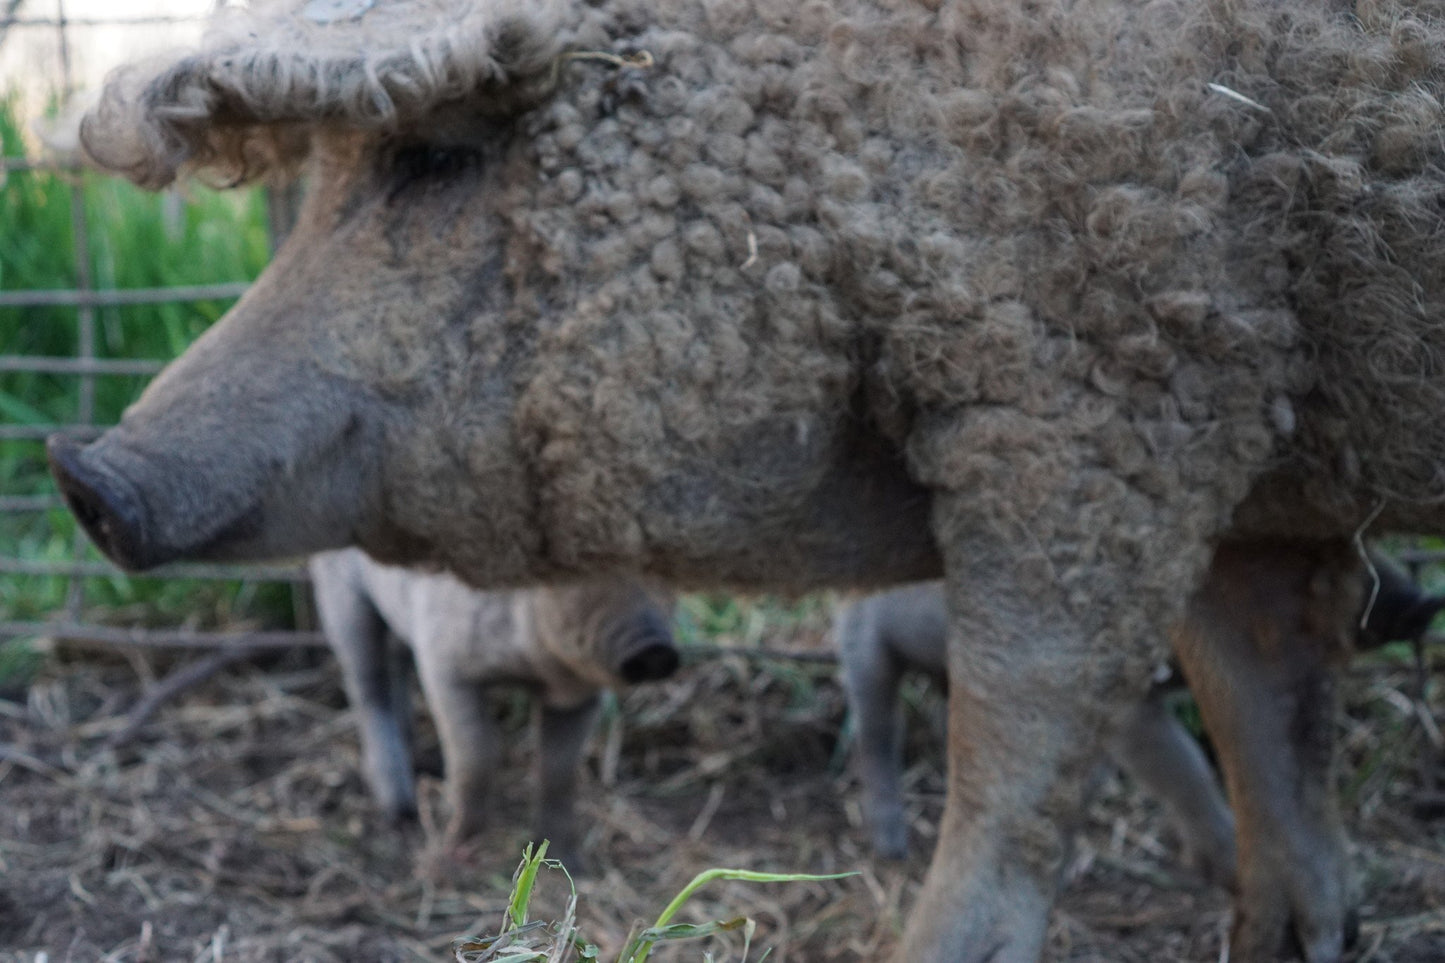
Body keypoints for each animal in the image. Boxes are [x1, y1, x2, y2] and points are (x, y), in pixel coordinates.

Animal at [309, 543, 676, 867]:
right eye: (582, 573)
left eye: (668, 573)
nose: (657, 651)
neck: (532, 666)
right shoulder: (445, 666)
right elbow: (476, 758)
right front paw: (455, 848)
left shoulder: (581, 694)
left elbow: (559, 771)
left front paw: (571, 863)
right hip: (339, 590)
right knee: (368, 683)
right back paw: (400, 811)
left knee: (396, 662)